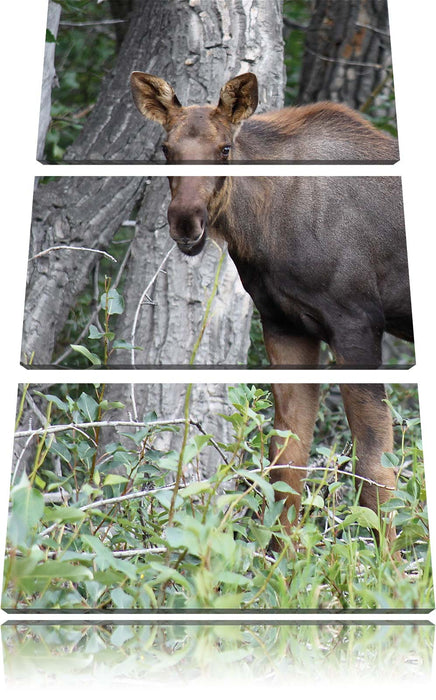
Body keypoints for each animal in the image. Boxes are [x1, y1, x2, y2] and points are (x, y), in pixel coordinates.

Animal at [129, 72, 412, 548]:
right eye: (166, 149)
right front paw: (284, 558)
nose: (186, 221)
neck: (261, 230)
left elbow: (375, 470)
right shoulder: (285, 324)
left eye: (225, 148)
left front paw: (390, 567)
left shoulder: (357, 323)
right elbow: (286, 462)